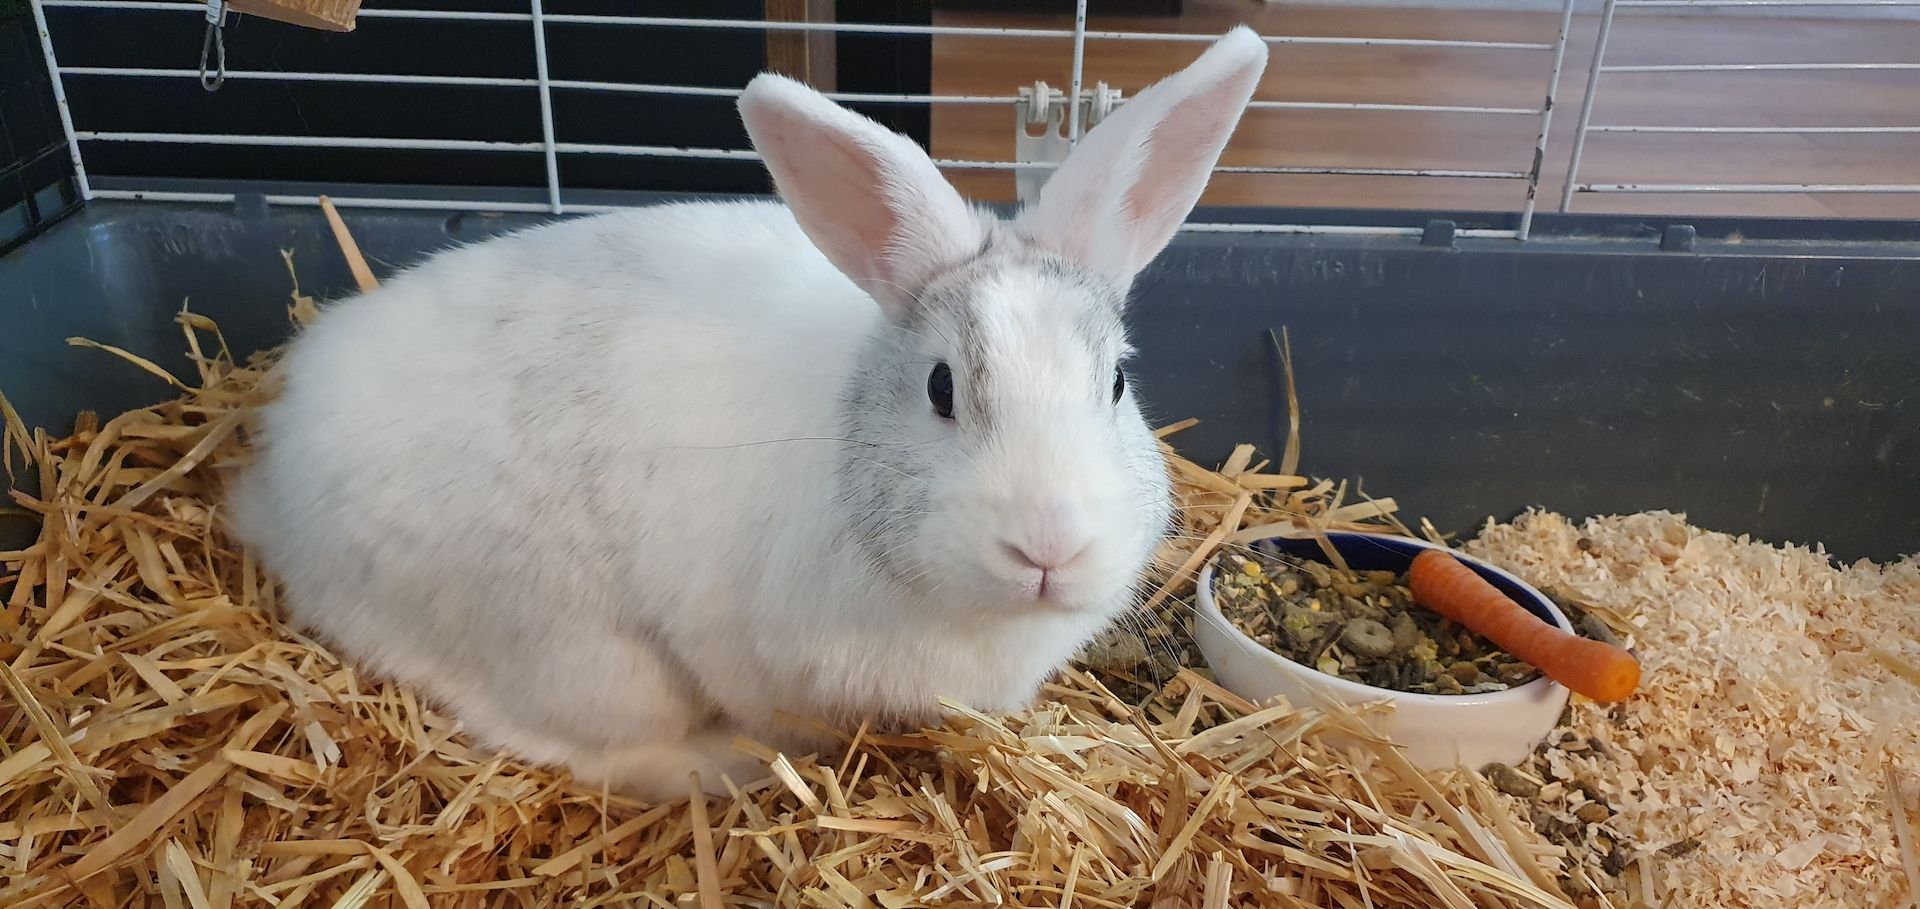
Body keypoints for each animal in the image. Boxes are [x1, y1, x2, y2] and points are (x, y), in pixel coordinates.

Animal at [229, 27, 1268, 802]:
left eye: (1118, 384)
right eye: (941, 387)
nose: (1048, 547)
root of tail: (275, 483)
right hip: (580, 652)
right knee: (576, 740)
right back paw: (718, 766)